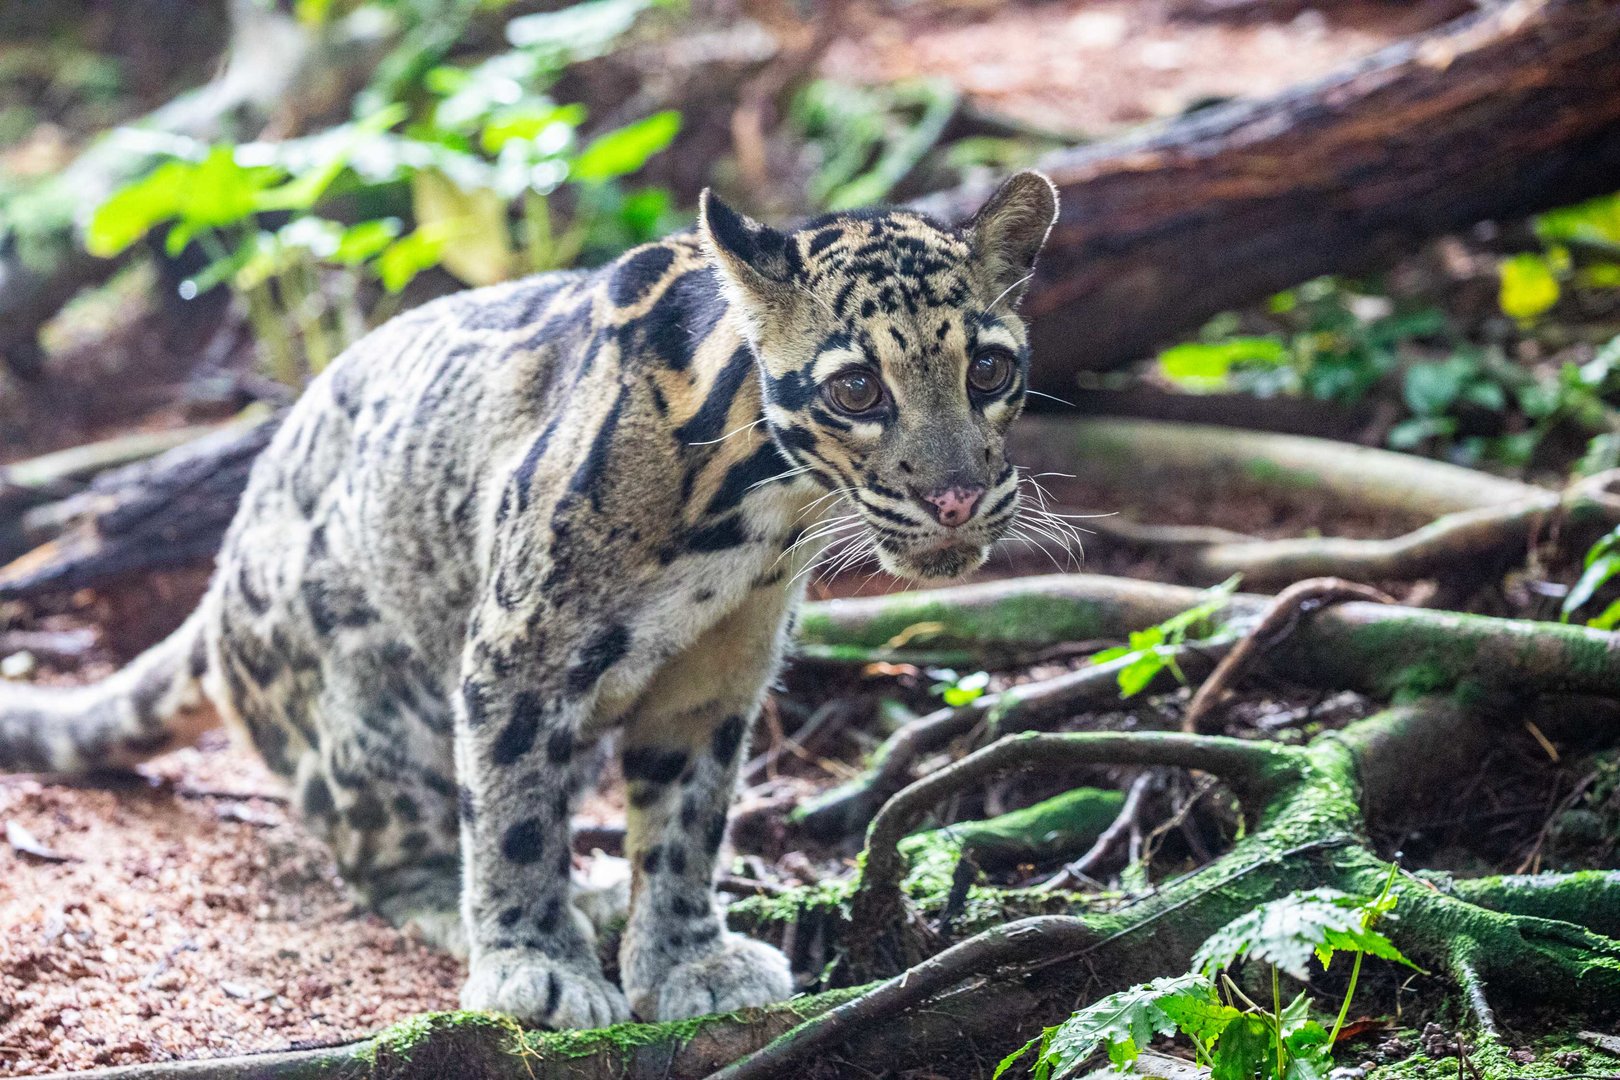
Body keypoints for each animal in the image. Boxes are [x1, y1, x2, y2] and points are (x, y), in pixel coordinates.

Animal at [0, 170, 1059, 1028]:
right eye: (856, 389)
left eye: (989, 368)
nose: (957, 497)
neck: (757, 514)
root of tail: (221, 582)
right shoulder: (520, 656)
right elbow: (512, 815)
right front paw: (535, 968)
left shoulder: (713, 677)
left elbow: (687, 825)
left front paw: (687, 958)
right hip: (367, 706)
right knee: (393, 843)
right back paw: (468, 907)